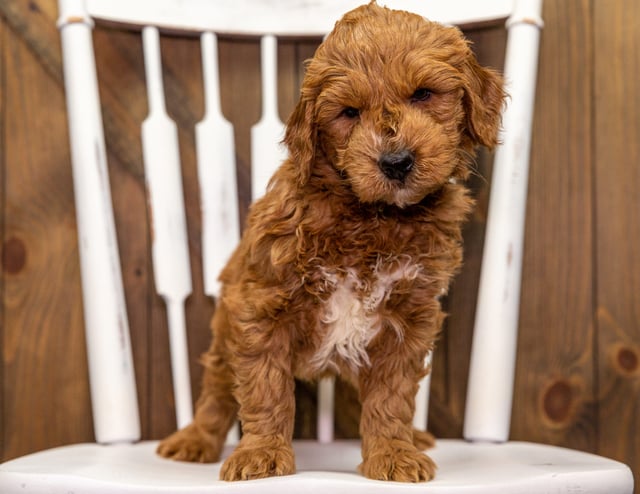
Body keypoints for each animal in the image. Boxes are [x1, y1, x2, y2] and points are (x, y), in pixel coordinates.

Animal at [156, 0, 504, 482]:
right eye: (350, 113)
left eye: (423, 94)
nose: (396, 162)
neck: (370, 215)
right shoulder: (261, 305)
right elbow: (265, 388)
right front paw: (261, 455)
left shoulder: (408, 318)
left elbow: (391, 396)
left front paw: (392, 453)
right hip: (225, 330)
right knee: (218, 390)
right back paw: (194, 440)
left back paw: (413, 438)